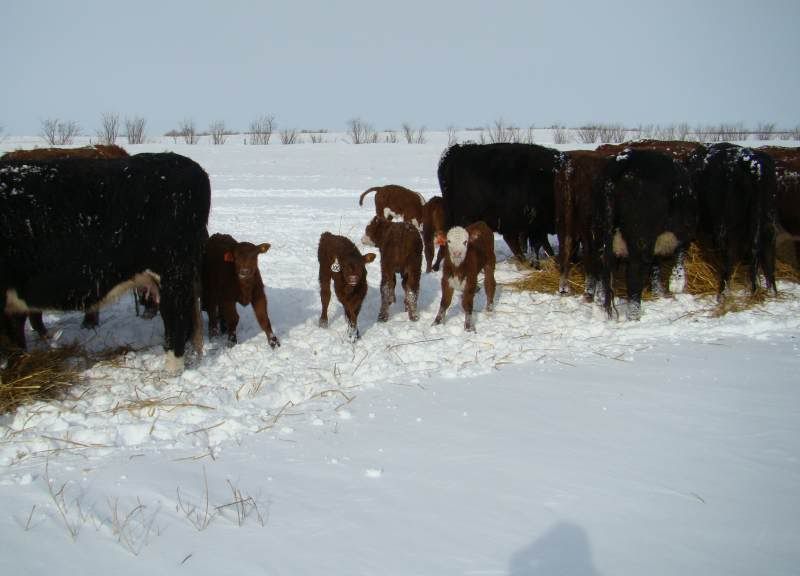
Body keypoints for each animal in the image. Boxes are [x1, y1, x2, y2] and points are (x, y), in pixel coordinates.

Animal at [553, 150, 611, 298]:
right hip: (588, 227)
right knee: (589, 250)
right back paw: (590, 289)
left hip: (563, 219)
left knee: (566, 245)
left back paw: (564, 287)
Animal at [593, 148, 697, 320]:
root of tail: (623, 161)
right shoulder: (684, 231)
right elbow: (680, 254)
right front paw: (676, 284)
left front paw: (659, 292)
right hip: (641, 239)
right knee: (634, 274)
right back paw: (634, 315)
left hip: (603, 232)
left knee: (603, 269)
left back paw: (599, 309)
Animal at [691, 143, 777, 298]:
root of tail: (755, 165)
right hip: (768, 220)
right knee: (767, 251)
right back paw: (771, 292)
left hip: (729, 224)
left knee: (731, 251)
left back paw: (723, 294)